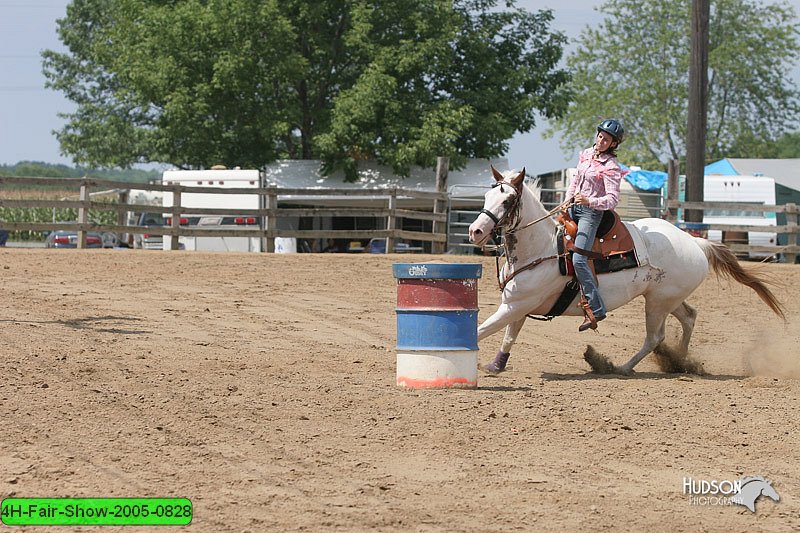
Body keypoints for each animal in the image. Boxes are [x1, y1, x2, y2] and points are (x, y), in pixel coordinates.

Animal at [466, 167, 784, 374]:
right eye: (486, 198)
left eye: (508, 201)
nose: (475, 231)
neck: (542, 248)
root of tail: (696, 242)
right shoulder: (516, 305)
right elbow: (508, 336)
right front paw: (495, 366)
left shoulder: (516, 305)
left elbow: (481, 332)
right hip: (666, 298)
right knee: (689, 317)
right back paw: (680, 361)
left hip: (657, 303)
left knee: (655, 337)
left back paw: (622, 367)